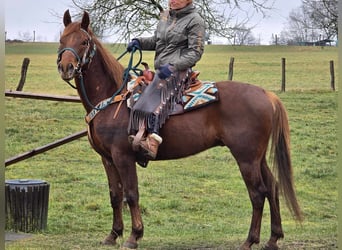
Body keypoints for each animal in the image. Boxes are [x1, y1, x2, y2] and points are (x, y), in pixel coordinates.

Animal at [56, 9, 302, 250]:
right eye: (62, 39)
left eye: (84, 41)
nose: (66, 67)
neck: (112, 97)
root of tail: (267, 95)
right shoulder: (107, 158)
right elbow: (115, 195)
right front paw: (113, 234)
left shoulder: (123, 156)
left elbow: (132, 194)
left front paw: (134, 236)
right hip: (257, 158)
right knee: (272, 187)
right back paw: (272, 239)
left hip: (246, 158)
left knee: (258, 194)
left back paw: (250, 240)